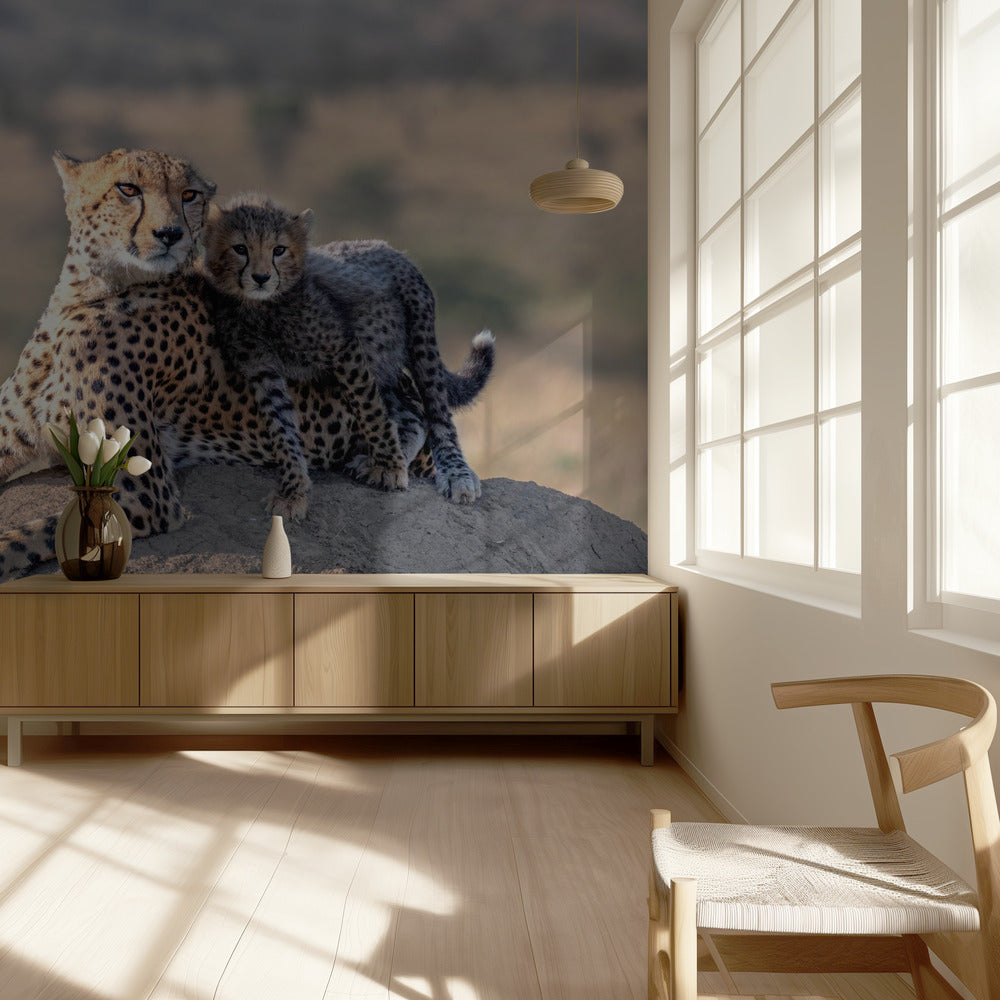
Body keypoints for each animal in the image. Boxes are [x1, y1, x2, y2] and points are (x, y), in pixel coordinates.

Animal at [0, 148, 400, 582]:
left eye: (189, 194)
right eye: (128, 188)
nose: (170, 233)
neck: (85, 294)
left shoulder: (146, 496)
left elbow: (33, 532)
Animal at [202, 194, 495, 516]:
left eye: (279, 250)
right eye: (240, 248)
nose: (261, 277)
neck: (260, 307)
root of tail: (387, 245)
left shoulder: (344, 349)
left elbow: (371, 413)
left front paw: (390, 468)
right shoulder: (261, 370)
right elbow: (282, 429)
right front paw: (293, 491)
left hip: (419, 341)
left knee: (437, 411)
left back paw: (455, 474)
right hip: (380, 360)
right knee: (411, 414)